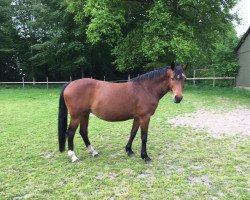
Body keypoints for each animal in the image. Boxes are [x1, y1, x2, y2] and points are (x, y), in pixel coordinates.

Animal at [58, 63, 188, 164]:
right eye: (172, 78)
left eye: (184, 78)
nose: (178, 98)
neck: (146, 89)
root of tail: (70, 83)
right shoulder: (145, 117)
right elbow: (144, 137)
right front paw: (145, 156)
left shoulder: (137, 117)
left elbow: (133, 133)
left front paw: (129, 150)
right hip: (76, 116)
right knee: (70, 133)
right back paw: (73, 157)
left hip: (85, 114)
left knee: (83, 132)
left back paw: (93, 152)